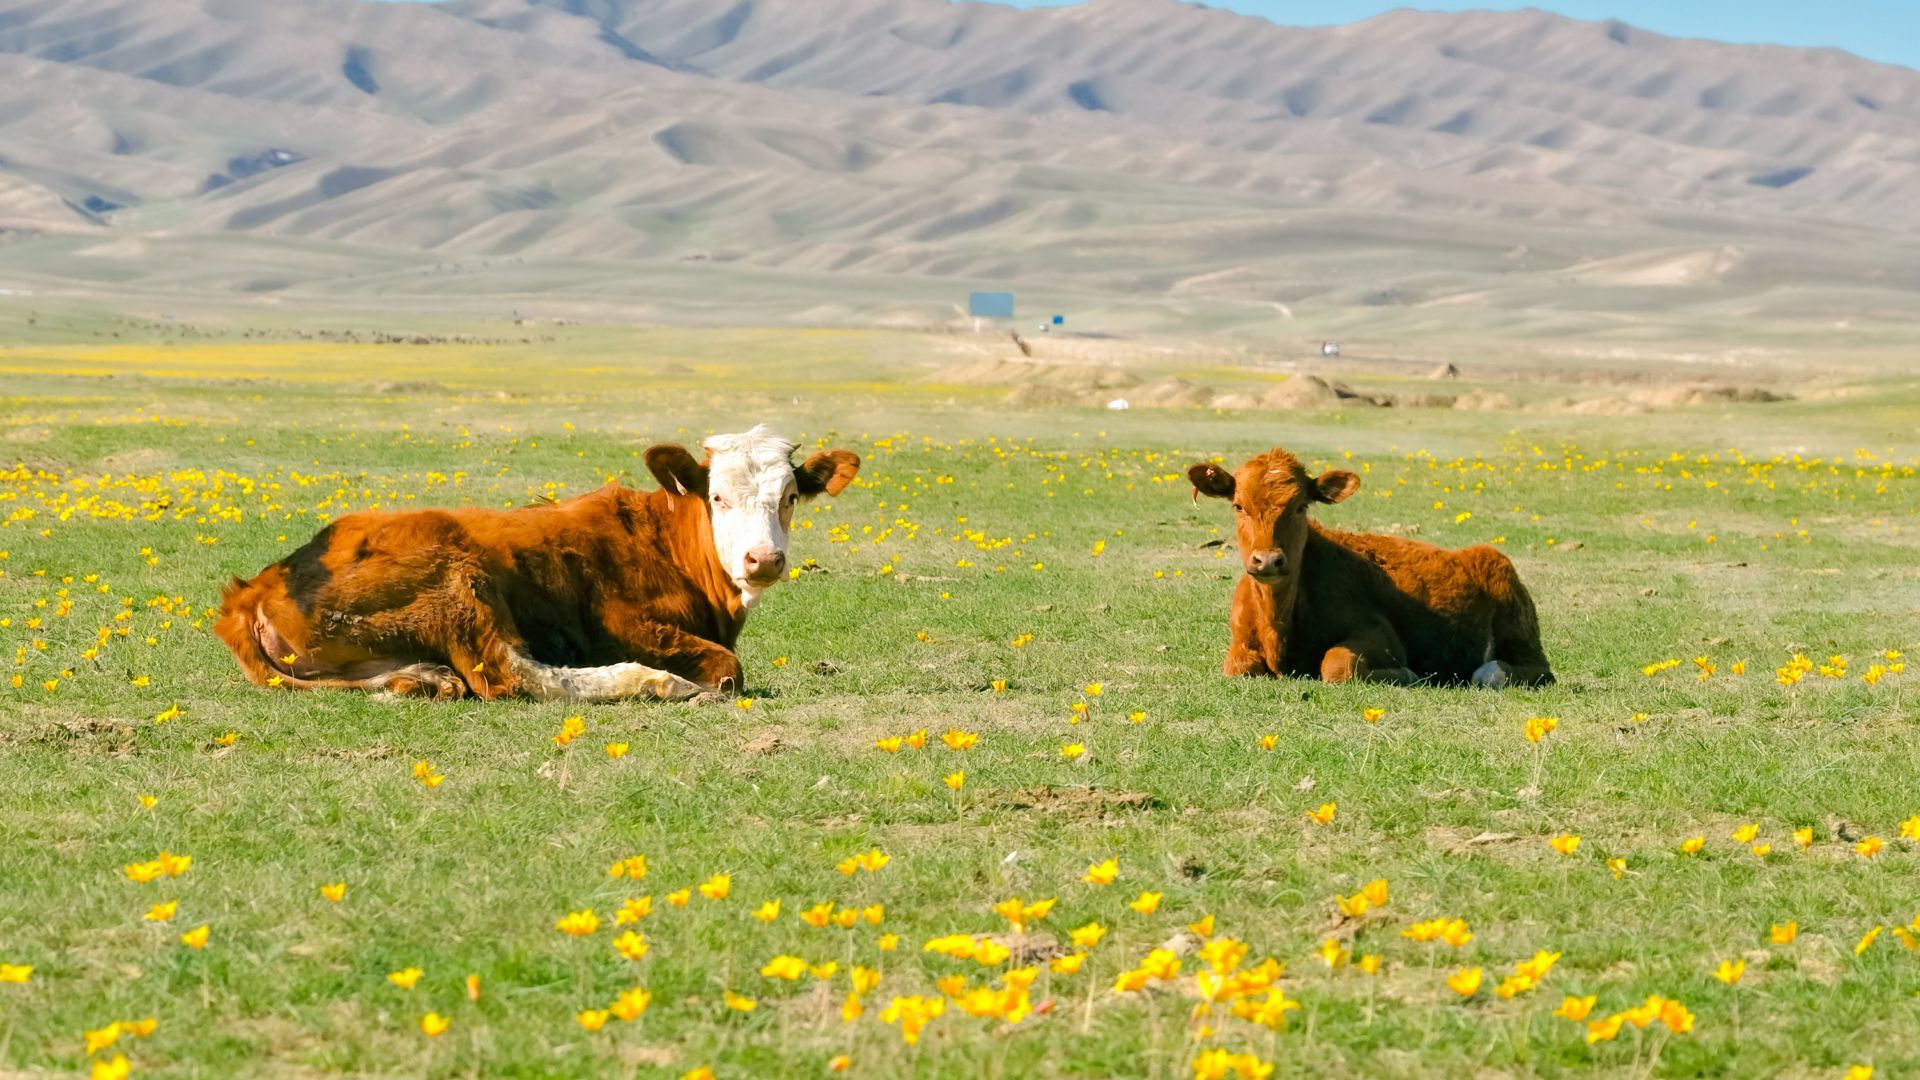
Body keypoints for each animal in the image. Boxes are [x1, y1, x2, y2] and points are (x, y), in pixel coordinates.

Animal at [215, 425, 859, 701]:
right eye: (719, 497)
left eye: (790, 497)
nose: (763, 559)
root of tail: (256, 587)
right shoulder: (623, 626)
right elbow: (728, 667)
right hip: (459, 583)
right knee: (507, 675)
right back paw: (659, 683)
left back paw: (422, 678)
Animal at [1187, 447, 1553, 687]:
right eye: (1238, 506)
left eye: (1301, 506)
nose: (1268, 560)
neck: (1278, 624)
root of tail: (1483, 552)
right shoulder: (1240, 643)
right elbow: (1238, 666)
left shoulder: (1380, 635)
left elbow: (1335, 664)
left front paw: (1407, 674)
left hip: (1518, 629)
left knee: (1528, 670)